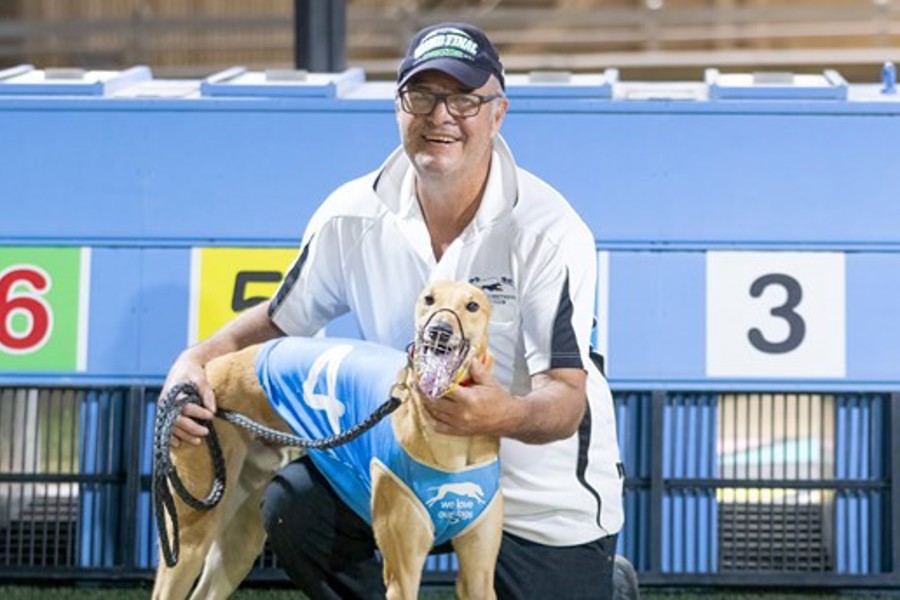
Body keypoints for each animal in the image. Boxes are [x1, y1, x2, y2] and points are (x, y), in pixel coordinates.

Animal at [152, 280, 500, 600]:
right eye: (428, 299)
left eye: (472, 305)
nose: (439, 332)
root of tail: (207, 370)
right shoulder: (402, 572)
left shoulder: (478, 574)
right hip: (191, 532)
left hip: (241, 537)